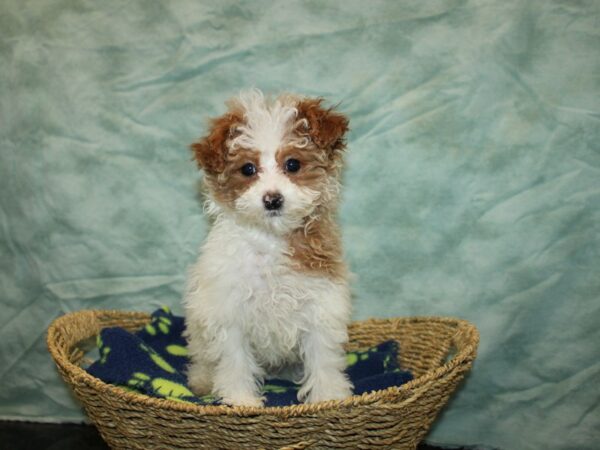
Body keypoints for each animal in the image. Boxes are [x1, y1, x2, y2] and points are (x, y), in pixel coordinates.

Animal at [183, 89, 352, 406]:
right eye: (248, 169)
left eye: (293, 164)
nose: (272, 199)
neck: (270, 241)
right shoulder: (229, 312)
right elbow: (234, 362)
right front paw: (240, 401)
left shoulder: (320, 306)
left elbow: (323, 360)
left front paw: (327, 398)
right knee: (201, 360)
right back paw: (201, 381)